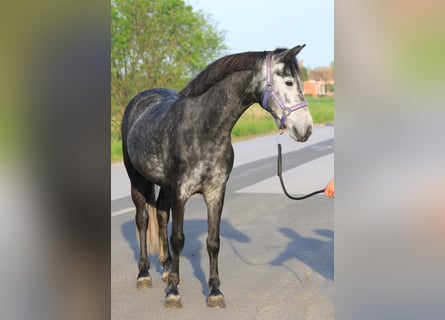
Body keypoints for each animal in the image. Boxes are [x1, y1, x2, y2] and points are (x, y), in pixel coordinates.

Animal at [121, 45, 312, 308]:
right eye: (289, 82)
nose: (306, 129)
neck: (203, 129)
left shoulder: (215, 192)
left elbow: (213, 242)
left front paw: (214, 292)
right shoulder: (181, 192)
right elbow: (178, 238)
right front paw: (173, 294)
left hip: (165, 186)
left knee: (160, 214)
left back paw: (168, 270)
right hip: (137, 179)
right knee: (142, 219)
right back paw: (144, 274)